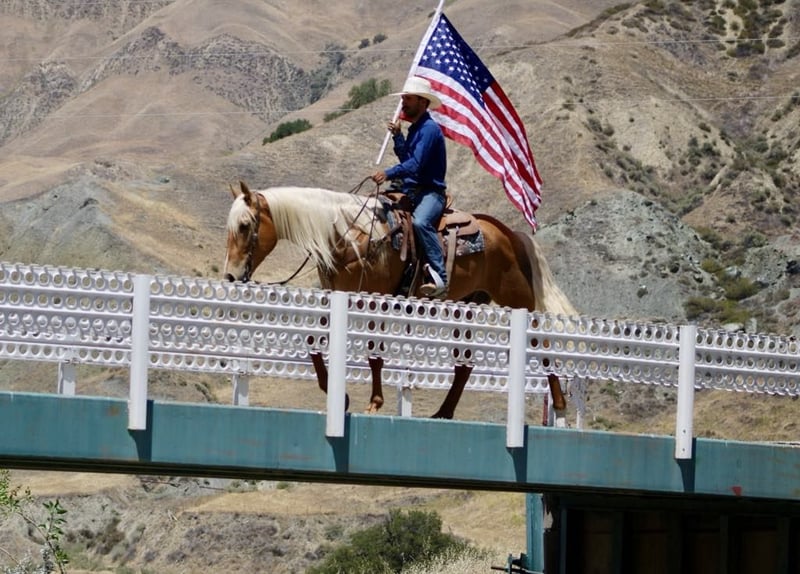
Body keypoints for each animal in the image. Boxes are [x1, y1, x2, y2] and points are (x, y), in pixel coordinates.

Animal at [223, 181, 576, 418]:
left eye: (245, 225)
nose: (230, 276)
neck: (350, 236)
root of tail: (510, 234)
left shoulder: (371, 297)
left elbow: (373, 352)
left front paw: (373, 402)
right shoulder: (337, 295)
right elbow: (314, 340)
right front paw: (340, 395)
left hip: (517, 300)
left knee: (542, 343)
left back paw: (559, 403)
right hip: (468, 305)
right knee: (464, 364)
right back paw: (443, 413)